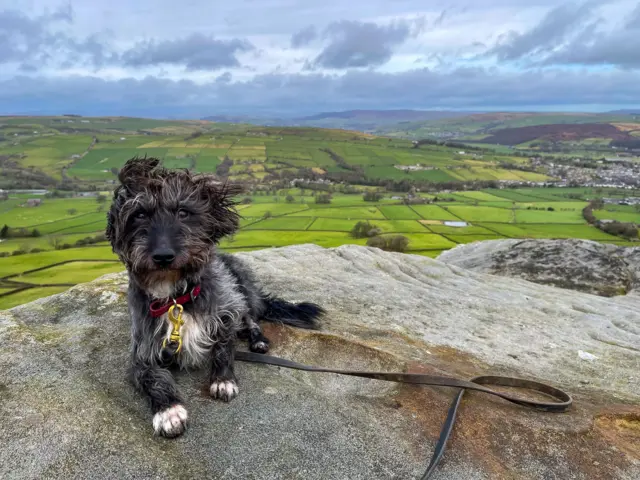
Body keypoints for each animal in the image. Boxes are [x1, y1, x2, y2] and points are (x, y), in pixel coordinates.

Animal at [107, 158, 324, 438]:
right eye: (140, 214)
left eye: (183, 212)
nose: (163, 255)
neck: (175, 298)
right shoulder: (141, 352)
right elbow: (152, 378)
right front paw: (168, 411)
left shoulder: (226, 310)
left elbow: (223, 346)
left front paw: (223, 380)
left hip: (242, 290)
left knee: (251, 318)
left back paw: (258, 340)